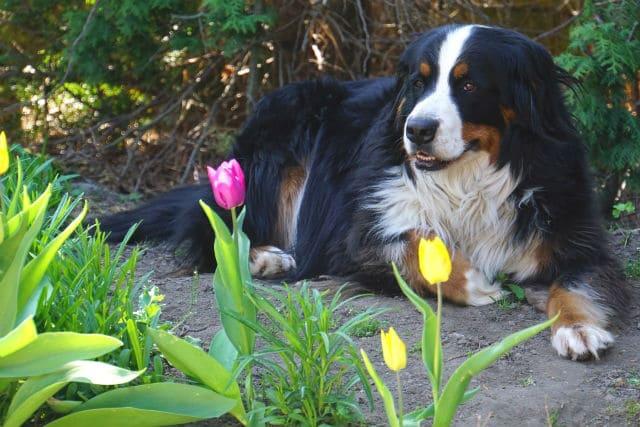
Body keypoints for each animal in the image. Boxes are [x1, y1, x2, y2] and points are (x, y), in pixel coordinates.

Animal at [101, 24, 632, 362]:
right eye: (418, 82)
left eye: (469, 85)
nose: (417, 130)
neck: (466, 178)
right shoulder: (353, 232)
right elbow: (411, 243)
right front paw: (474, 282)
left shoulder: (572, 231)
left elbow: (577, 285)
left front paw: (579, 330)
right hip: (280, 135)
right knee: (213, 230)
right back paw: (266, 257)